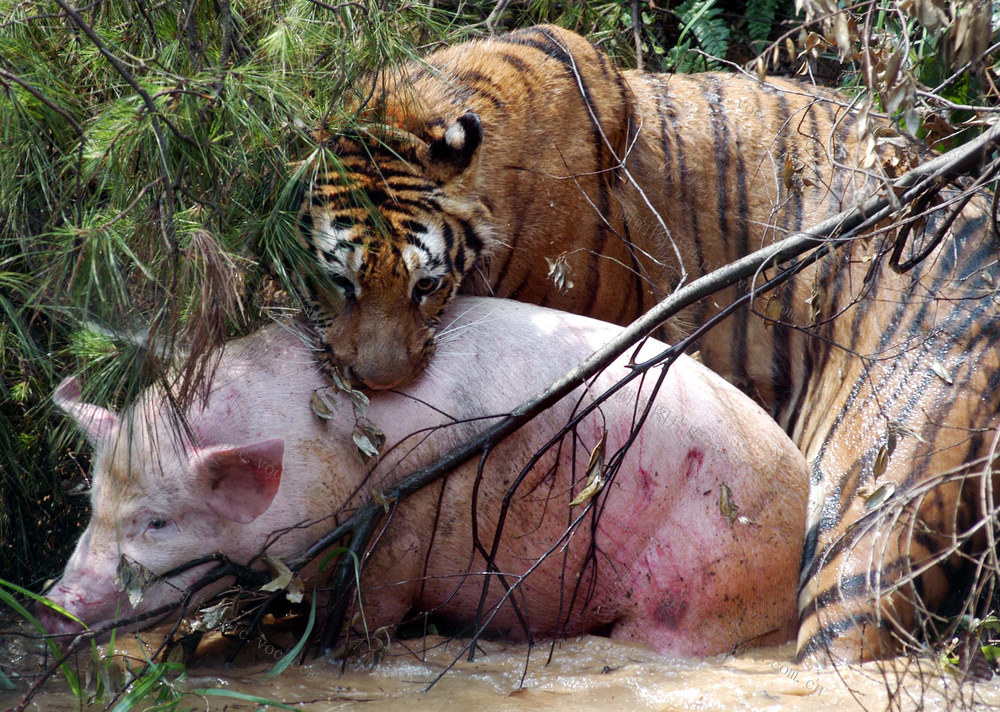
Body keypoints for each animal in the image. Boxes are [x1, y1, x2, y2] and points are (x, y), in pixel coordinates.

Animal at [39, 294, 808, 656]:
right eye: (92, 503)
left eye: (158, 520)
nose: (54, 602)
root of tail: (803, 481)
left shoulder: (401, 525)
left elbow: (366, 614)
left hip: (705, 588)